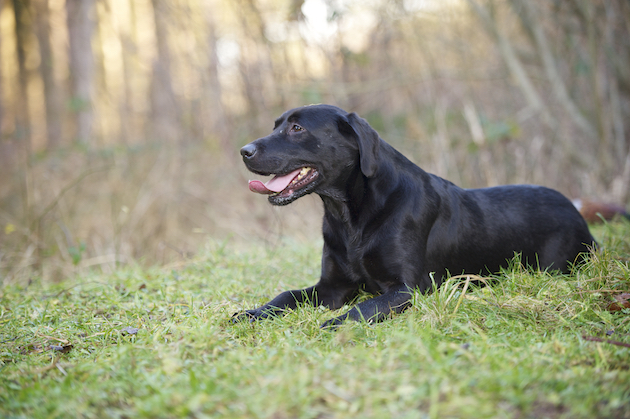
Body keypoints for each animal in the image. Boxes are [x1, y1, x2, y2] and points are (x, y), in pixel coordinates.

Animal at [236, 104, 596, 328]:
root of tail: (575, 210)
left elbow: (364, 308)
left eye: (297, 128)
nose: (244, 151)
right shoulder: (331, 287)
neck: (350, 217)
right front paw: (252, 312)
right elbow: (286, 295)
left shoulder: (408, 288)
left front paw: (335, 324)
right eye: (276, 125)